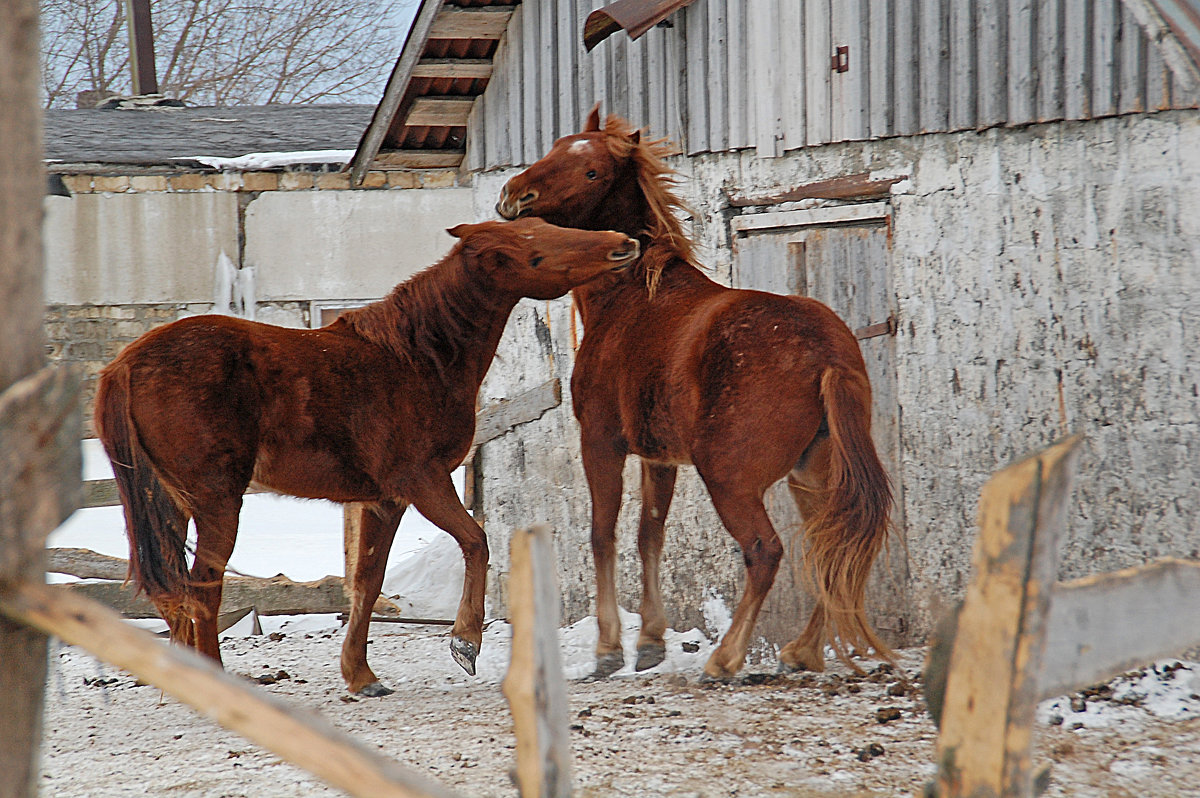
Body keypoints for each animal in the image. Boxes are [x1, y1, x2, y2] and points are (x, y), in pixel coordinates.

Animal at [94, 218, 643, 691]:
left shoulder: (384, 500)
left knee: (175, 592)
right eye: (535, 249)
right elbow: (476, 542)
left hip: (171, 505)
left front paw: (360, 675)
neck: (417, 358)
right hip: (217, 502)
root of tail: (125, 364)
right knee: (203, 590)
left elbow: (367, 582)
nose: (624, 243)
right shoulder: (422, 480)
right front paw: (465, 642)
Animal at [496, 107, 902, 676]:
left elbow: (603, 535)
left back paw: (726, 657)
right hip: (812, 475)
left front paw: (608, 649)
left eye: (592, 171)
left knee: (767, 551)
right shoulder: (659, 457)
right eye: (556, 147)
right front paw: (649, 642)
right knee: (829, 545)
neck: (631, 299)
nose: (514, 195)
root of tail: (826, 354)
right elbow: (650, 535)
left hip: (729, 479)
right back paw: (799, 651)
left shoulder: (601, 442)